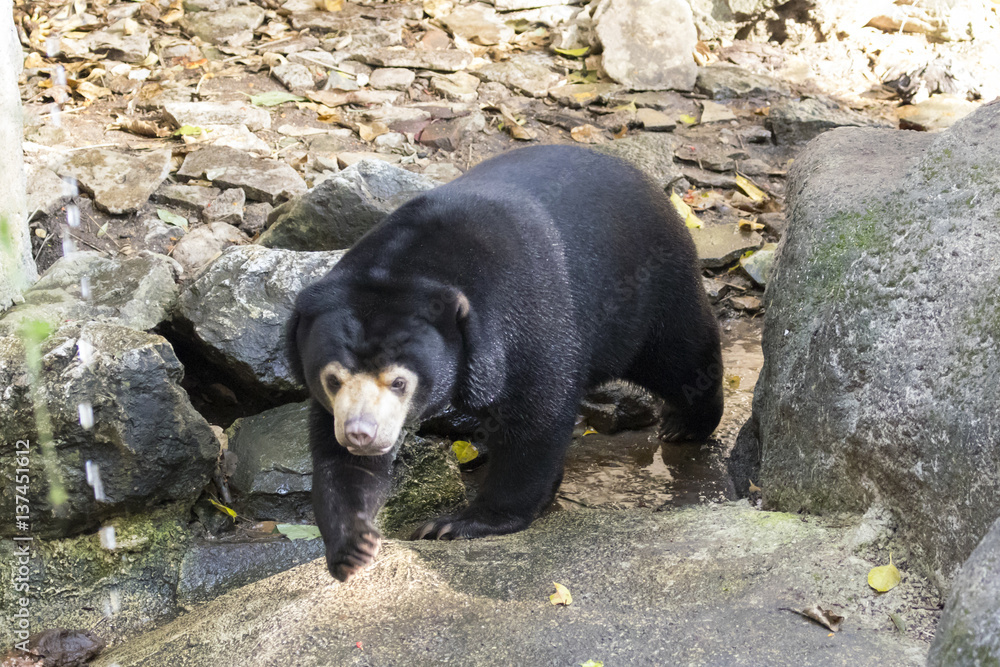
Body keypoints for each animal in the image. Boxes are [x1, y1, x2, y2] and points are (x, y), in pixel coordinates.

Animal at [287, 145, 724, 582]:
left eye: (399, 381)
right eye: (333, 379)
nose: (361, 433)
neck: (411, 268)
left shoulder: (521, 316)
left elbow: (535, 415)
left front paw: (457, 523)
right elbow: (339, 462)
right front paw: (352, 546)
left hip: (644, 288)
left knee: (676, 355)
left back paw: (685, 423)